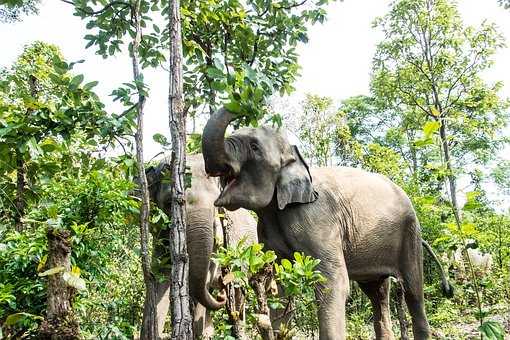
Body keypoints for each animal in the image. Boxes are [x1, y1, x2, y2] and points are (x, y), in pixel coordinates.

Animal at [144, 153, 256, 338]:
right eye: (169, 204)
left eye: (216, 205)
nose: (222, 295)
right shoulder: (161, 236)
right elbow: (160, 276)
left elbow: (205, 279)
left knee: (238, 291)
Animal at [201, 109, 452, 340]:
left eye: (254, 147)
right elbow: (279, 286)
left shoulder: (317, 219)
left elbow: (333, 282)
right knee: (377, 294)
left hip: (410, 233)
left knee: (413, 292)